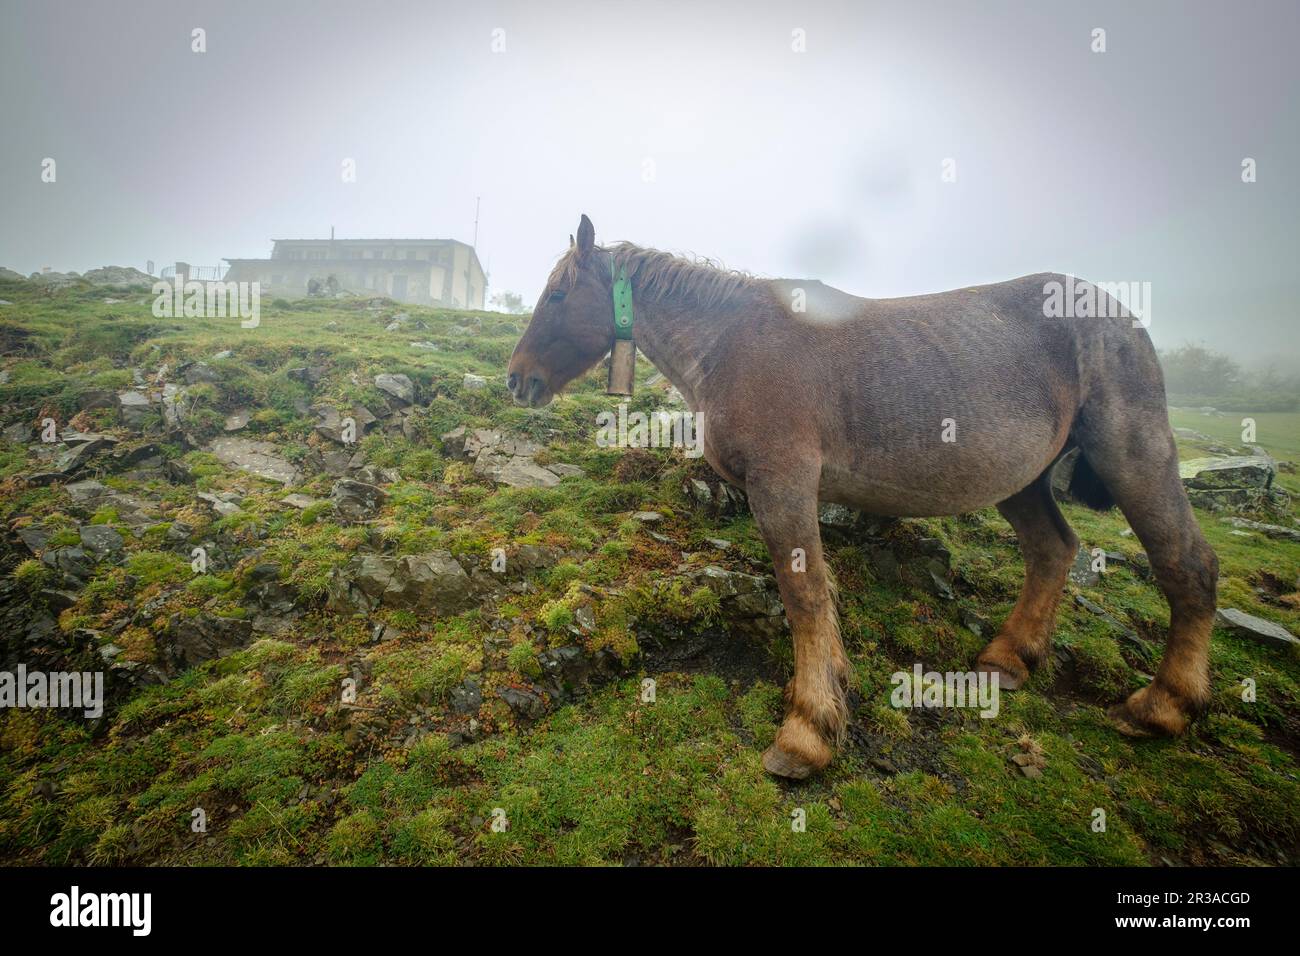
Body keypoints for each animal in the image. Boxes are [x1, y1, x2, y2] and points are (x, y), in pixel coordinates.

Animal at [504, 214, 1216, 780]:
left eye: (559, 292)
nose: (518, 380)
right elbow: (819, 594)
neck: (732, 343)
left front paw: (808, 732)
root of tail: (1120, 317)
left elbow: (805, 597)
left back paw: (1162, 707)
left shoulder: (783, 485)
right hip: (1021, 481)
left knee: (1187, 564)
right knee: (1053, 550)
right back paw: (1008, 661)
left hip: (1133, 457)